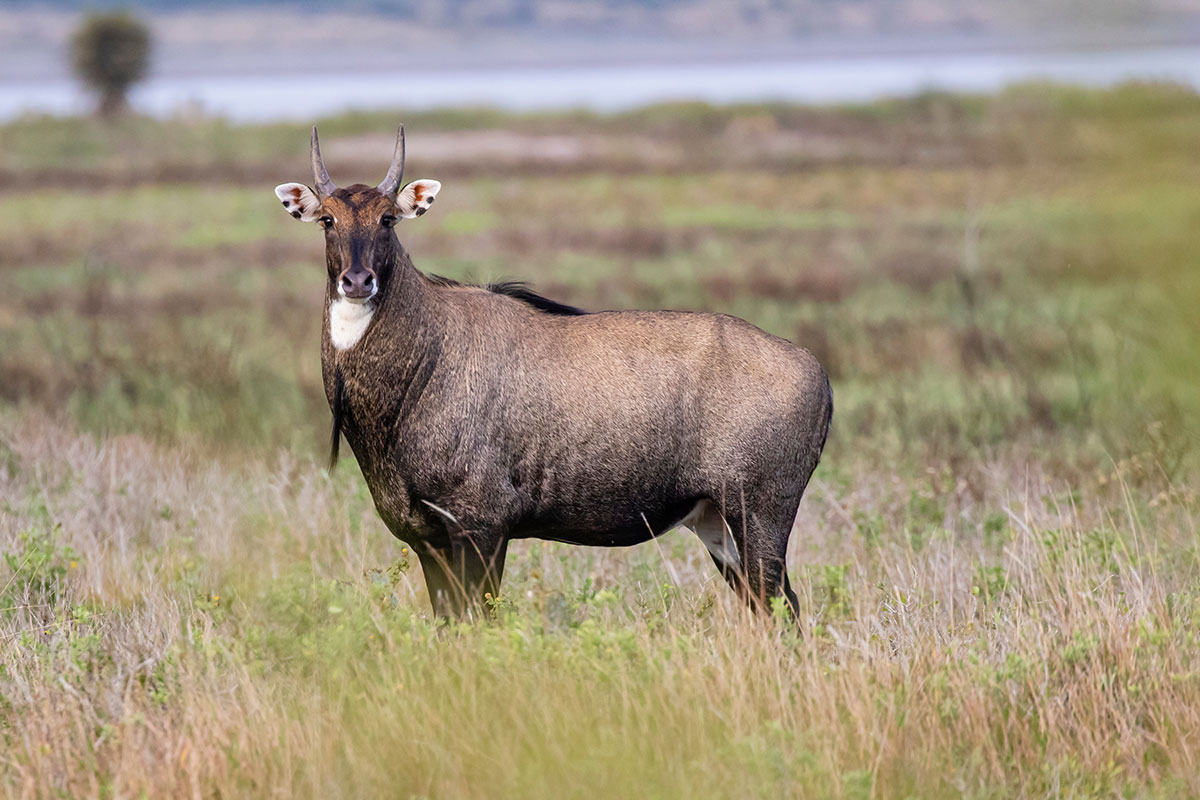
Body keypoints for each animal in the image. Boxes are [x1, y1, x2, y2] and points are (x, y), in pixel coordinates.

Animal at [274, 126, 830, 618]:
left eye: (388, 219)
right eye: (327, 220)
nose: (357, 280)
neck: (422, 363)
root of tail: (818, 372)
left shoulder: (483, 526)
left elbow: (480, 620)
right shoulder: (426, 538)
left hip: (760, 513)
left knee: (782, 605)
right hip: (716, 523)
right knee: (773, 605)